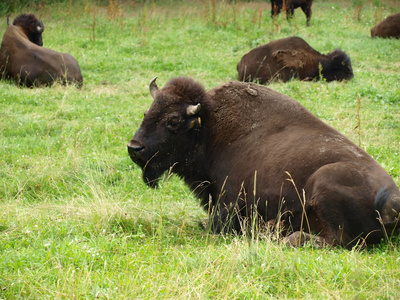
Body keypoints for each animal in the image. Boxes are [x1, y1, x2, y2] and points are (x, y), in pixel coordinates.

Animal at [128, 76, 400, 247]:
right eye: (147, 112)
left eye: (173, 121)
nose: (134, 148)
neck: (208, 129)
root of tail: (391, 201)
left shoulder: (229, 203)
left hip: (324, 181)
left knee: (336, 239)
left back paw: (283, 236)